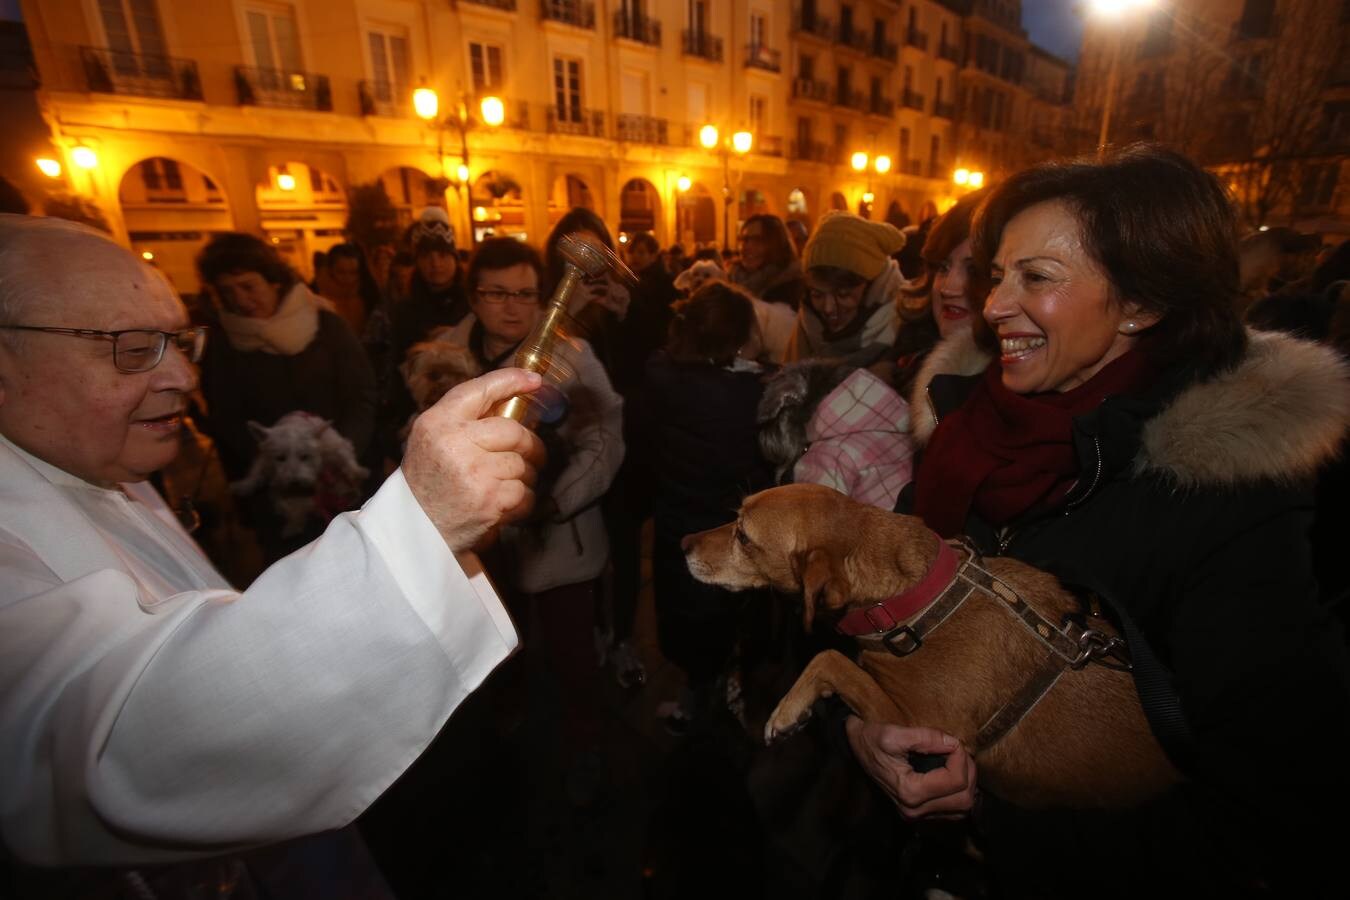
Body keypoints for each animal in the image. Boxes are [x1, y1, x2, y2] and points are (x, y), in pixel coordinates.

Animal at [232, 412, 369, 539]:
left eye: (305, 456)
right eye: (280, 458)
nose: (295, 482)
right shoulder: (269, 465)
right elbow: (259, 474)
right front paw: (243, 485)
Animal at [680, 485, 1177, 809]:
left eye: (743, 536)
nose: (683, 542)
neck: (915, 601)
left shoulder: (915, 725)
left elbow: (832, 659)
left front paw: (785, 712)